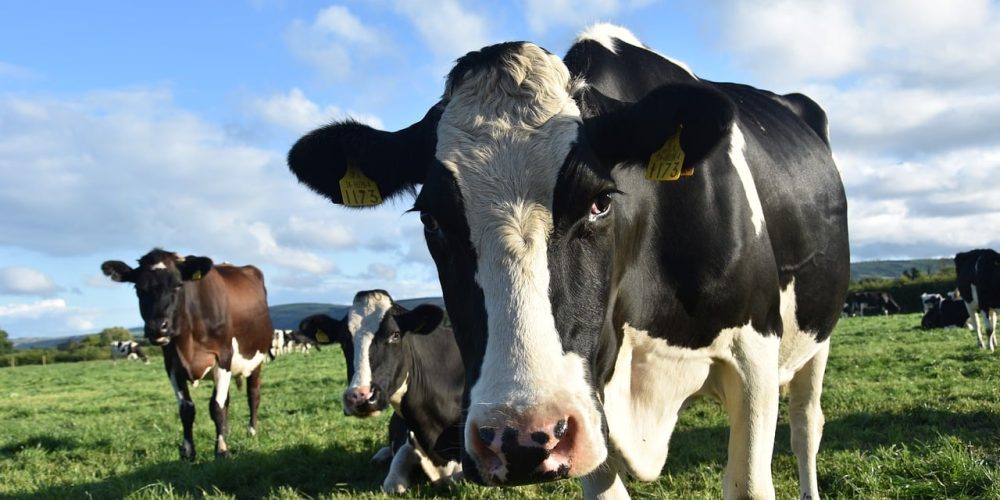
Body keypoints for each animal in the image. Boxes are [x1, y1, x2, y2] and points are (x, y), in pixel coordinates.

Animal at [101, 248, 274, 460]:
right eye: (138, 288)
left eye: (178, 285)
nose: (157, 327)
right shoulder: (172, 365)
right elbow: (187, 409)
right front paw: (188, 452)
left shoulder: (223, 358)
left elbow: (216, 406)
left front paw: (222, 449)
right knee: (227, 400)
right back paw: (227, 431)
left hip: (256, 359)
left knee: (253, 394)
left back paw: (251, 431)